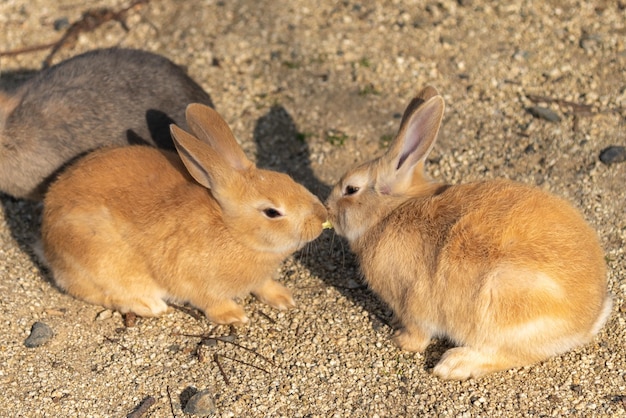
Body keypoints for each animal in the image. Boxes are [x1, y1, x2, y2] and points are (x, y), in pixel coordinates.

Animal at [42, 103, 326, 324]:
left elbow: (264, 286)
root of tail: (46, 236)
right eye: (272, 212)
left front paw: (284, 298)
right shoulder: (196, 282)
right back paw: (149, 305)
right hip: (99, 259)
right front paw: (234, 316)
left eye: (289, 179)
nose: (322, 216)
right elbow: (211, 302)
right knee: (101, 293)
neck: (232, 231)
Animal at [324, 86, 612, 380]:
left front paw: (399, 339)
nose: (327, 208)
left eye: (351, 189)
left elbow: (418, 334)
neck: (388, 213)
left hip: (500, 305)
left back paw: (453, 364)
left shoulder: (412, 303)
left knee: (510, 354)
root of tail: (589, 319)